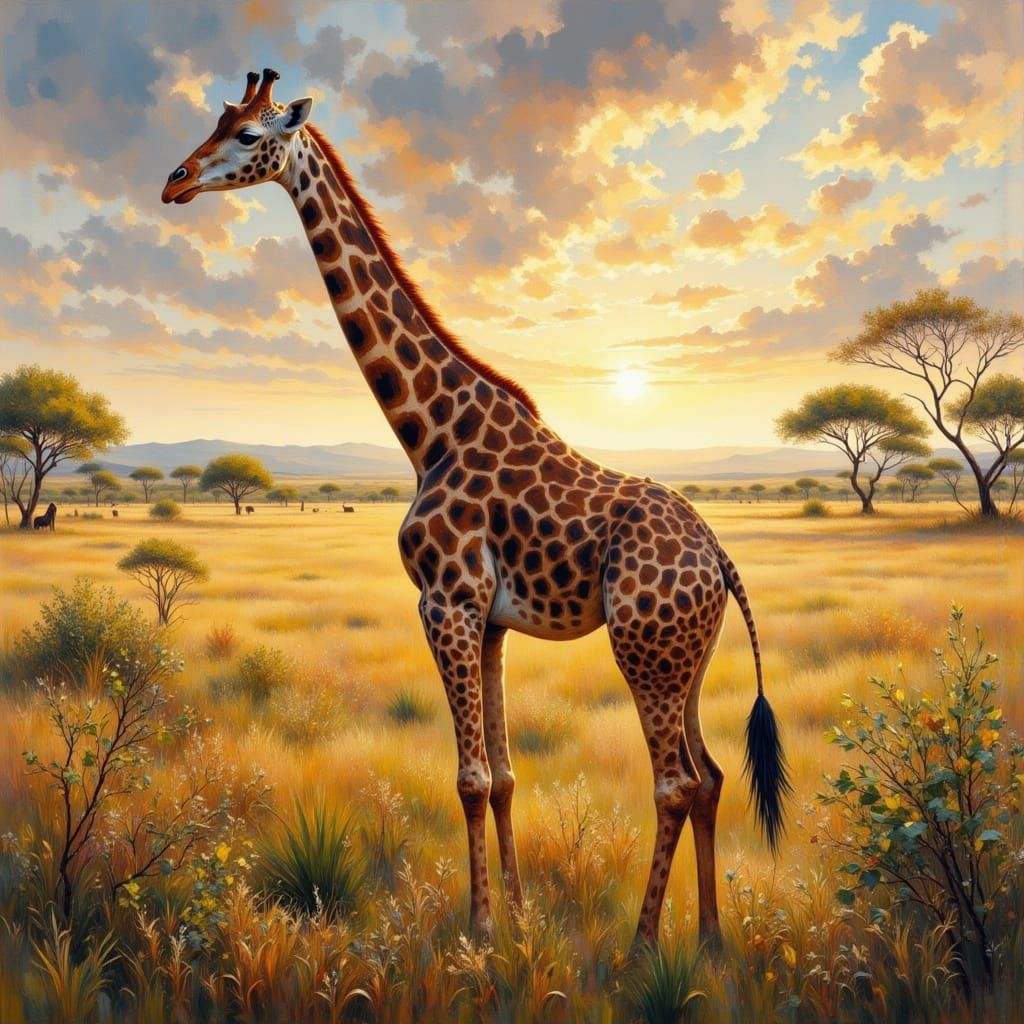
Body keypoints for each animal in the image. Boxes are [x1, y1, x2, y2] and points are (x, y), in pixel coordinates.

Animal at [162, 69, 790, 949]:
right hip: (686, 657)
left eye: (251, 135)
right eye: (216, 120)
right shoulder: (489, 618)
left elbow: (467, 777)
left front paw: (480, 930)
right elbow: (504, 775)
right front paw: (520, 921)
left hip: (644, 650)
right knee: (710, 776)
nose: (175, 182)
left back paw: (640, 949)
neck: (427, 431)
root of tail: (720, 560)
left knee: (672, 783)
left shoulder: (444, 601)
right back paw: (707, 941)